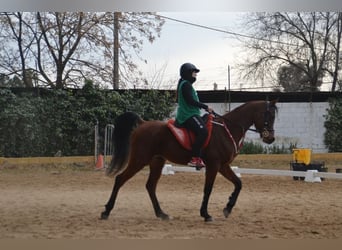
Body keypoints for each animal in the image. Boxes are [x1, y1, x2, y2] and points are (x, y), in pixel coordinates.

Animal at [100, 98, 276, 222]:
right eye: (268, 115)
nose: (271, 139)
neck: (226, 129)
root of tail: (143, 124)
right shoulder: (214, 165)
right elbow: (208, 189)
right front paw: (206, 214)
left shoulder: (223, 166)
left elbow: (238, 184)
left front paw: (228, 208)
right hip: (139, 160)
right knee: (120, 179)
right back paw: (106, 211)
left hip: (157, 162)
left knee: (150, 186)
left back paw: (162, 214)